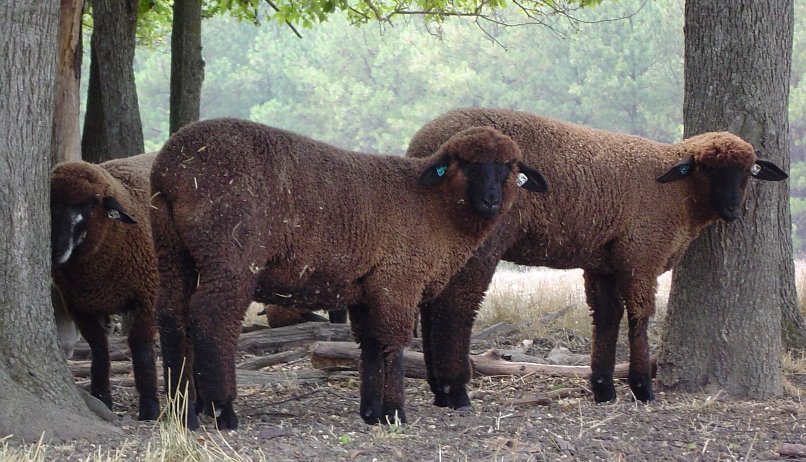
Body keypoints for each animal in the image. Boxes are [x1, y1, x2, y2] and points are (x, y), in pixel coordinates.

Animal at [50, 152, 160, 421]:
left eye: (89, 205)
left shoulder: (147, 297)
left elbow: (141, 348)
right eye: (51, 204)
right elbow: (99, 347)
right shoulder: (78, 305)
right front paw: (101, 397)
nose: (56, 251)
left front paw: (149, 407)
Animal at [149, 118, 547, 430]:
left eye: (510, 166)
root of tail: (170, 169)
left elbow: (370, 345)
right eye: (462, 164)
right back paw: (222, 409)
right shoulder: (398, 279)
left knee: (171, 315)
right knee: (213, 318)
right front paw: (395, 412)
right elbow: (394, 344)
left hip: (171, 249)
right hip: (230, 253)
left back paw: (183, 412)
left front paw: (372, 412)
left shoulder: (367, 288)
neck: (435, 208)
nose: (491, 201)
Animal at [404, 107, 788, 409]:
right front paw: (641, 387)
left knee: (431, 304)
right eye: (707, 169)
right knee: (458, 306)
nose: (733, 210)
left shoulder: (604, 261)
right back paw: (457, 392)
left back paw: (439, 390)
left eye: (749, 171)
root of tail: (422, 145)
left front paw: (603, 388)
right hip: (483, 238)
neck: (677, 191)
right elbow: (639, 317)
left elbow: (606, 317)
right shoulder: (641, 252)